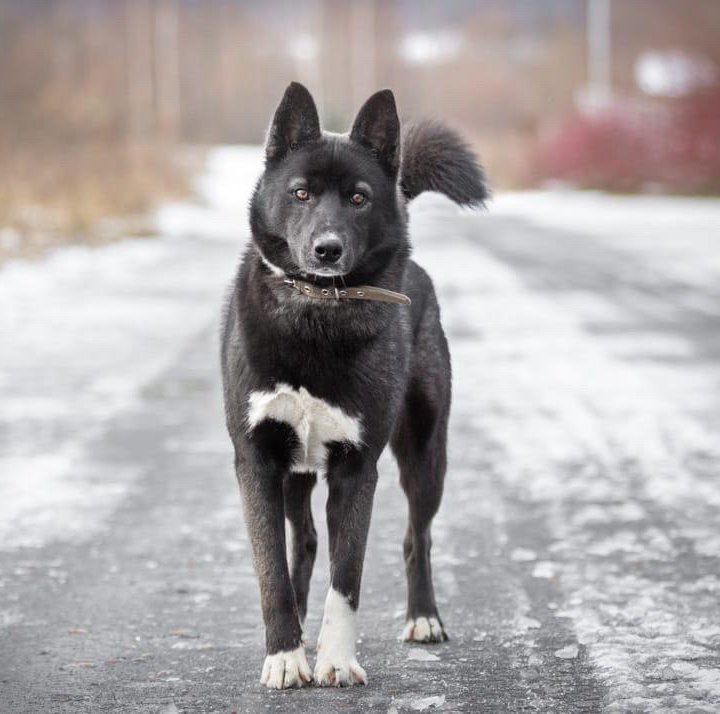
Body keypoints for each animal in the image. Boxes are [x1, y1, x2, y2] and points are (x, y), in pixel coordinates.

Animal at [221, 80, 490, 688]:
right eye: (300, 193)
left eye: (360, 198)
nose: (327, 249)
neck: (318, 313)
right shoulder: (256, 461)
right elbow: (271, 571)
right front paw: (285, 657)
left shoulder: (356, 467)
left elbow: (347, 577)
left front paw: (337, 661)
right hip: (294, 473)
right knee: (303, 541)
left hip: (425, 453)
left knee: (418, 536)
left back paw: (423, 618)